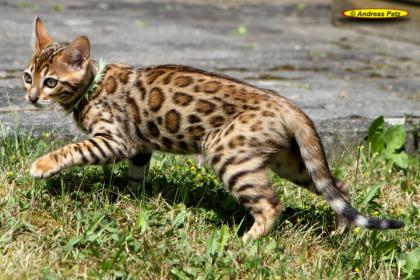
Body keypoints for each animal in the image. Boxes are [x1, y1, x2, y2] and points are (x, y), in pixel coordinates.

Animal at [22, 18, 404, 241]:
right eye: (28, 76)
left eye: (51, 81)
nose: (31, 97)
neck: (93, 85)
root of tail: (288, 104)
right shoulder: (140, 148)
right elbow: (136, 177)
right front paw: (132, 202)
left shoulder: (114, 139)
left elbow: (72, 149)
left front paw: (42, 166)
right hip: (290, 162)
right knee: (337, 186)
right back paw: (341, 234)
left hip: (230, 156)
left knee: (271, 205)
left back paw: (244, 245)